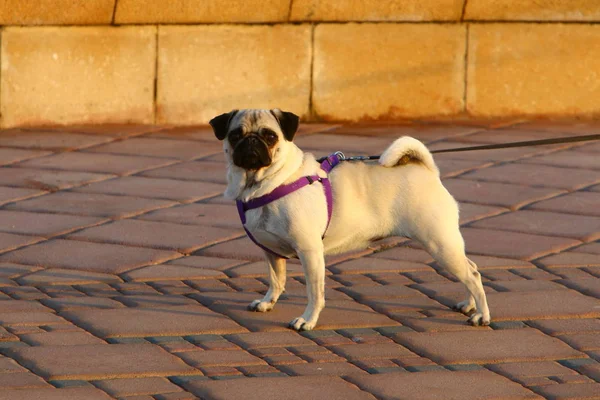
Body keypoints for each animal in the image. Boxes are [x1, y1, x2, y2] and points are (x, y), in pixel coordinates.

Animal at [209, 108, 490, 330]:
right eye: (235, 135)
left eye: (269, 136)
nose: (251, 141)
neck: (261, 183)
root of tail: (426, 169)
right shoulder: (271, 253)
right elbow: (276, 280)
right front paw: (267, 302)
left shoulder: (310, 251)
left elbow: (315, 292)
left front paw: (308, 320)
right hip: (445, 245)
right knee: (471, 269)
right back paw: (469, 305)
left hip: (439, 243)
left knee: (472, 275)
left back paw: (481, 316)